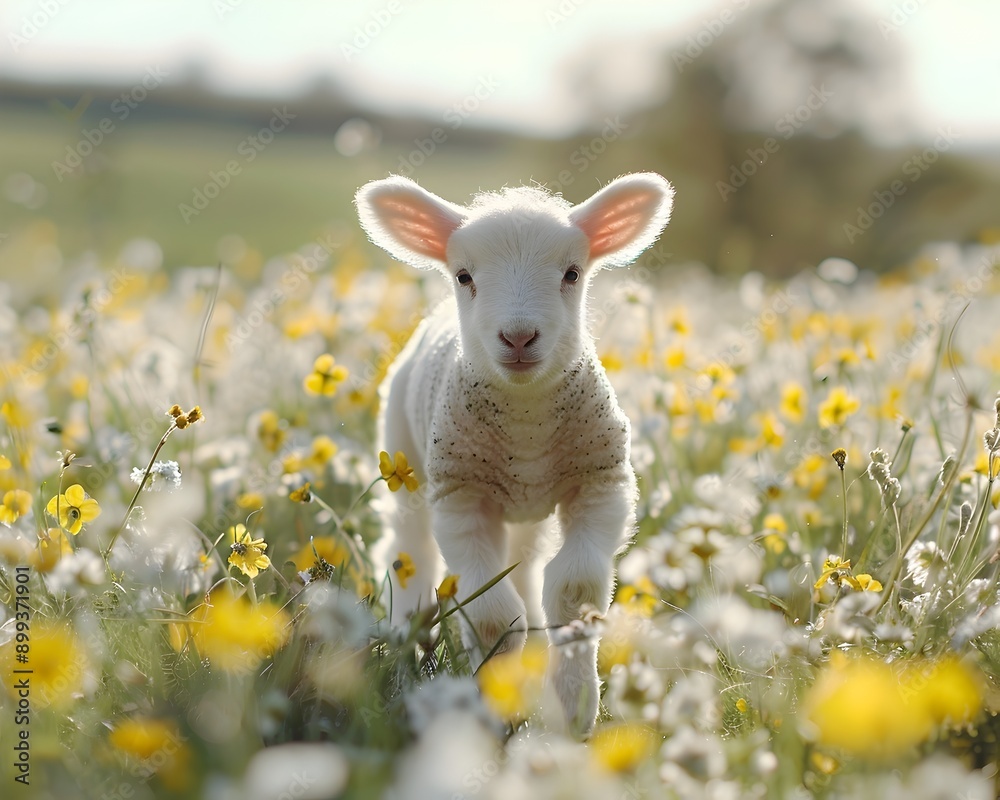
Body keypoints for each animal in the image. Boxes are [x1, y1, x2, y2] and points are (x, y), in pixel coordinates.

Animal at [355, 172, 673, 735]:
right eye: (463, 276)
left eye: (571, 274)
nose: (519, 336)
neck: (526, 423)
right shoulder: (460, 497)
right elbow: (492, 617)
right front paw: (493, 706)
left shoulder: (601, 483)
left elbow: (574, 591)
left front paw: (573, 706)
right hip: (406, 461)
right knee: (408, 548)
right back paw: (404, 634)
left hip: (528, 508)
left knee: (524, 567)